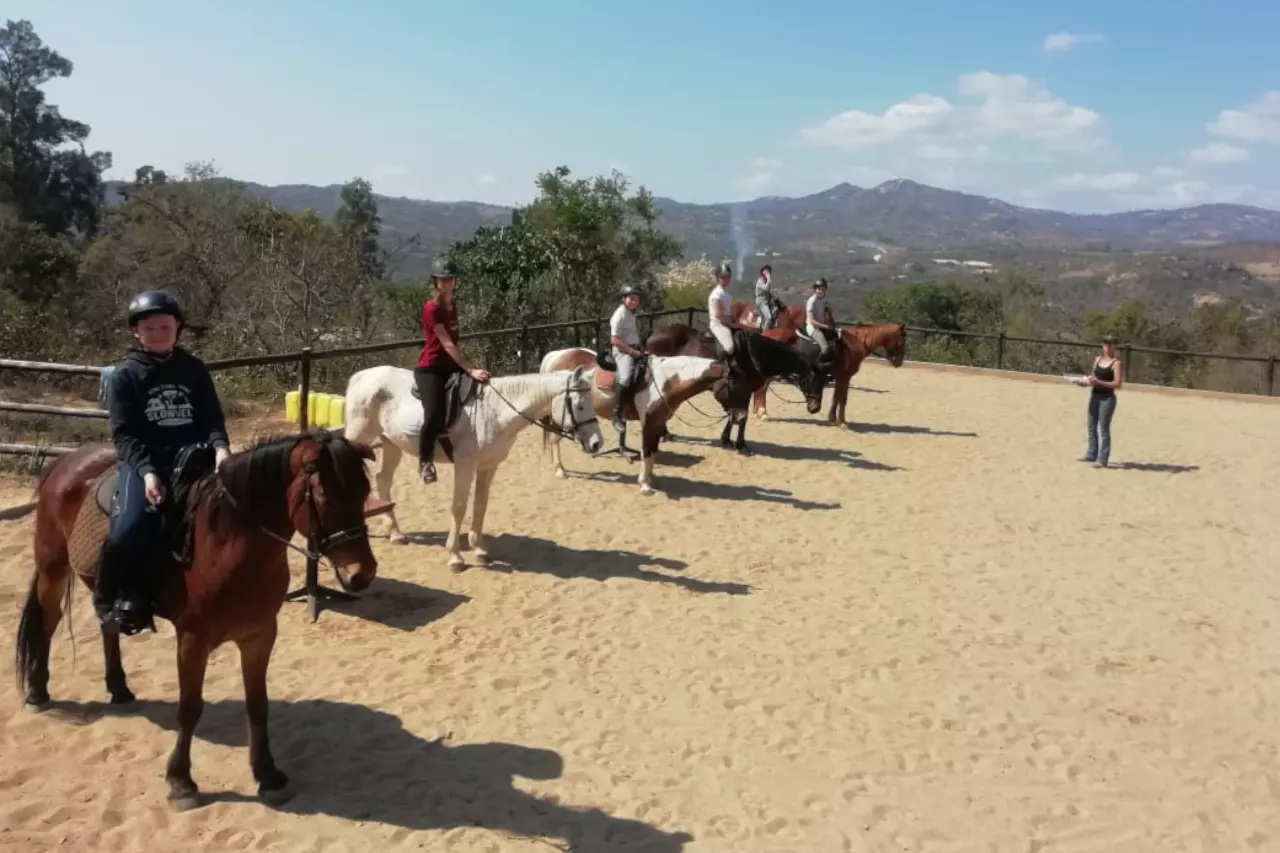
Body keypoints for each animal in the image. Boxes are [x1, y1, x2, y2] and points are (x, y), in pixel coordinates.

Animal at [12, 431, 378, 809]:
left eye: (365, 490)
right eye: (324, 496)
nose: (362, 573)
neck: (228, 545)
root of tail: (66, 461)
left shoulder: (260, 635)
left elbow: (257, 705)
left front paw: (268, 775)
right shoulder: (192, 640)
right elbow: (189, 708)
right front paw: (181, 782)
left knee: (106, 626)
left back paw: (119, 689)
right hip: (52, 571)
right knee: (48, 622)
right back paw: (38, 693)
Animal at [342, 366, 603, 570]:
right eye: (580, 405)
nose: (596, 443)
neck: (494, 411)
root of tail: (361, 376)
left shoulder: (488, 466)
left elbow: (480, 505)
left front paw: (478, 550)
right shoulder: (465, 466)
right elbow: (459, 507)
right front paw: (455, 556)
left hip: (391, 443)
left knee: (383, 479)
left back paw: (396, 533)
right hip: (358, 439)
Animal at [537, 350, 725, 495]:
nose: (733, 415)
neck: (666, 380)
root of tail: (556, 355)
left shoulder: (658, 423)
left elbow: (653, 453)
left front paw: (651, 479)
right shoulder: (649, 424)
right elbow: (647, 453)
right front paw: (644, 485)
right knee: (555, 439)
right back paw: (560, 470)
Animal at [643, 323, 826, 454]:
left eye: (824, 381)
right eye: (813, 380)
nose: (815, 408)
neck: (753, 355)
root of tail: (653, 333)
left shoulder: (741, 392)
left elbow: (735, 416)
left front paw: (727, 441)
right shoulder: (739, 390)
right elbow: (740, 418)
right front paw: (740, 445)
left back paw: (665, 433)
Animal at [753, 323, 907, 425]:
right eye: (903, 339)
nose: (899, 362)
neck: (854, 344)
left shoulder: (841, 377)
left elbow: (837, 398)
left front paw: (834, 419)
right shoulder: (845, 376)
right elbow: (842, 399)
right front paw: (841, 422)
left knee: (761, 390)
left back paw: (758, 413)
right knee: (762, 390)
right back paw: (763, 413)